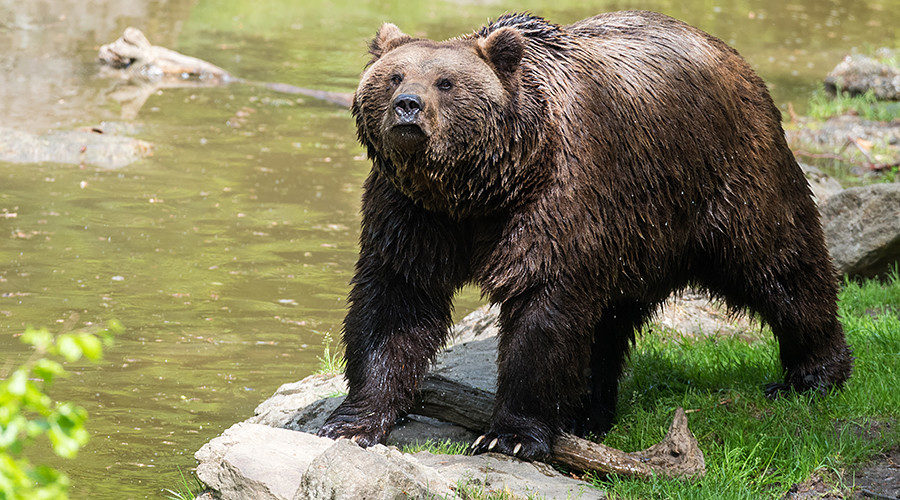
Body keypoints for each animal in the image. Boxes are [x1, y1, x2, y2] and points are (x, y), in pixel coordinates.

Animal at [317, 11, 853, 460]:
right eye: (394, 76)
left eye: (445, 82)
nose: (407, 108)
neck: (479, 188)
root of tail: (731, 54)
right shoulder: (413, 214)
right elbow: (395, 304)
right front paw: (352, 422)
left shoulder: (556, 200)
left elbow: (542, 309)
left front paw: (510, 435)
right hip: (634, 237)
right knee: (606, 322)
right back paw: (588, 414)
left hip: (725, 175)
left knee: (778, 264)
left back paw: (812, 374)